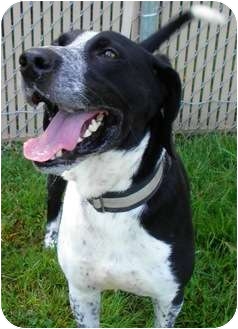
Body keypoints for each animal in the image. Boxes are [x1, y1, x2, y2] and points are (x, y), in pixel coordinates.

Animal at [20, 5, 225, 328]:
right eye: (60, 42)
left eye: (109, 54)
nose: (30, 59)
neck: (112, 200)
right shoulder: (82, 293)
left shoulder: (170, 298)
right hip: (55, 179)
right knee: (53, 207)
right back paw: (50, 240)